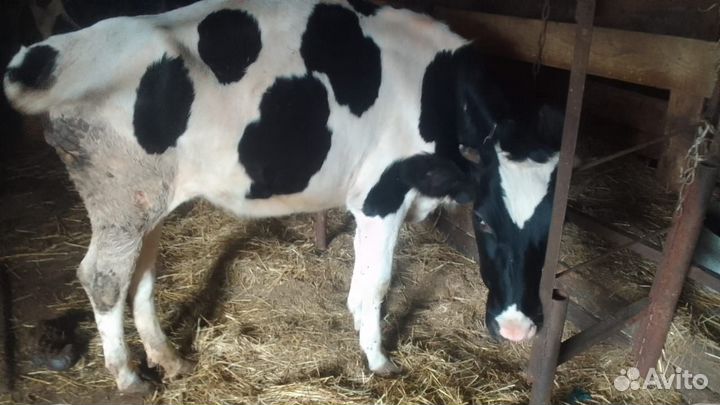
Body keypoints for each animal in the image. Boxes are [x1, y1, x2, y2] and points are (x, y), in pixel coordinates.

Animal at [4, 0, 562, 392]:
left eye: (546, 232)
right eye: (483, 220)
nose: (518, 329)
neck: (437, 92)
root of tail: (56, 51)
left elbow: (360, 284)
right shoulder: (381, 195)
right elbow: (377, 284)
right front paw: (379, 361)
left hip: (147, 200)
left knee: (140, 276)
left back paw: (169, 359)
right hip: (119, 197)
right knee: (103, 278)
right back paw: (127, 377)